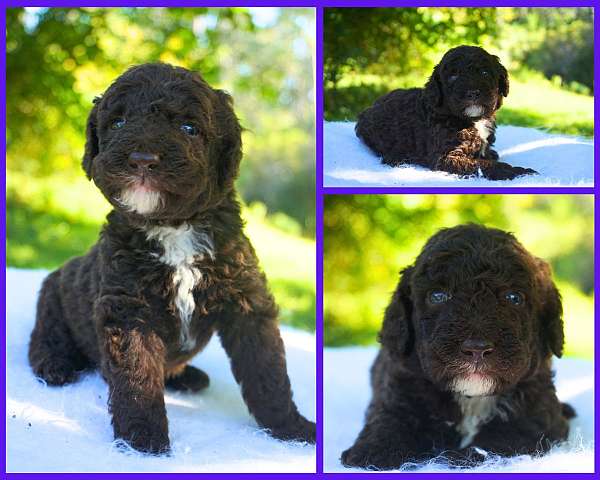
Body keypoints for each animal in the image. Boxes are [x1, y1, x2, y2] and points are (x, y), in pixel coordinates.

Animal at [28, 63, 316, 454]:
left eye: (189, 128)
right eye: (118, 122)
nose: (142, 160)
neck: (174, 229)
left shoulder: (247, 303)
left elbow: (267, 370)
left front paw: (291, 427)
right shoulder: (128, 311)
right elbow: (138, 377)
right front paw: (143, 440)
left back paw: (188, 377)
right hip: (52, 296)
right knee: (44, 338)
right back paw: (54, 366)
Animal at [342, 224, 572, 468]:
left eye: (513, 297)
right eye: (437, 296)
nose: (477, 349)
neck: (472, 398)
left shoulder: (535, 410)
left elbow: (505, 437)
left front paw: (466, 455)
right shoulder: (401, 391)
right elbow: (390, 421)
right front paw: (371, 452)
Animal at [354, 46, 536, 181]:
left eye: (484, 73)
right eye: (453, 76)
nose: (473, 93)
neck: (473, 120)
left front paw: (492, 154)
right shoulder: (446, 157)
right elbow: (480, 164)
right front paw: (515, 171)